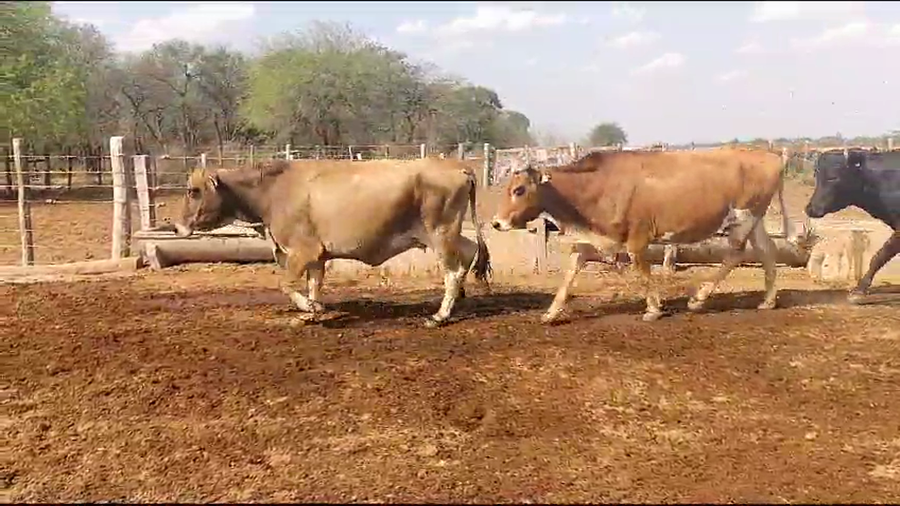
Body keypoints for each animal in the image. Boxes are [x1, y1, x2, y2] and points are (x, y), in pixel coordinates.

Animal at [174, 158, 492, 327]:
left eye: (193, 191)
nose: (177, 226)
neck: (273, 191)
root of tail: (458, 166)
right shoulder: (318, 256)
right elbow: (314, 284)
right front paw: (313, 312)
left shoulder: (303, 251)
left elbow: (286, 283)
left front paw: (309, 309)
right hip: (450, 234)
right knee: (470, 253)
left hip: (440, 233)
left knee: (453, 270)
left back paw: (440, 315)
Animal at [489, 149, 795, 323]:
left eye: (519, 189)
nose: (496, 222)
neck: (599, 186)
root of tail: (771, 156)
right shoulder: (599, 238)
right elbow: (574, 268)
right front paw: (551, 313)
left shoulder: (637, 237)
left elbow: (641, 268)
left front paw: (654, 308)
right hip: (755, 219)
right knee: (767, 250)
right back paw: (768, 301)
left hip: (743, 216)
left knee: (735, 253)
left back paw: (699, 298)